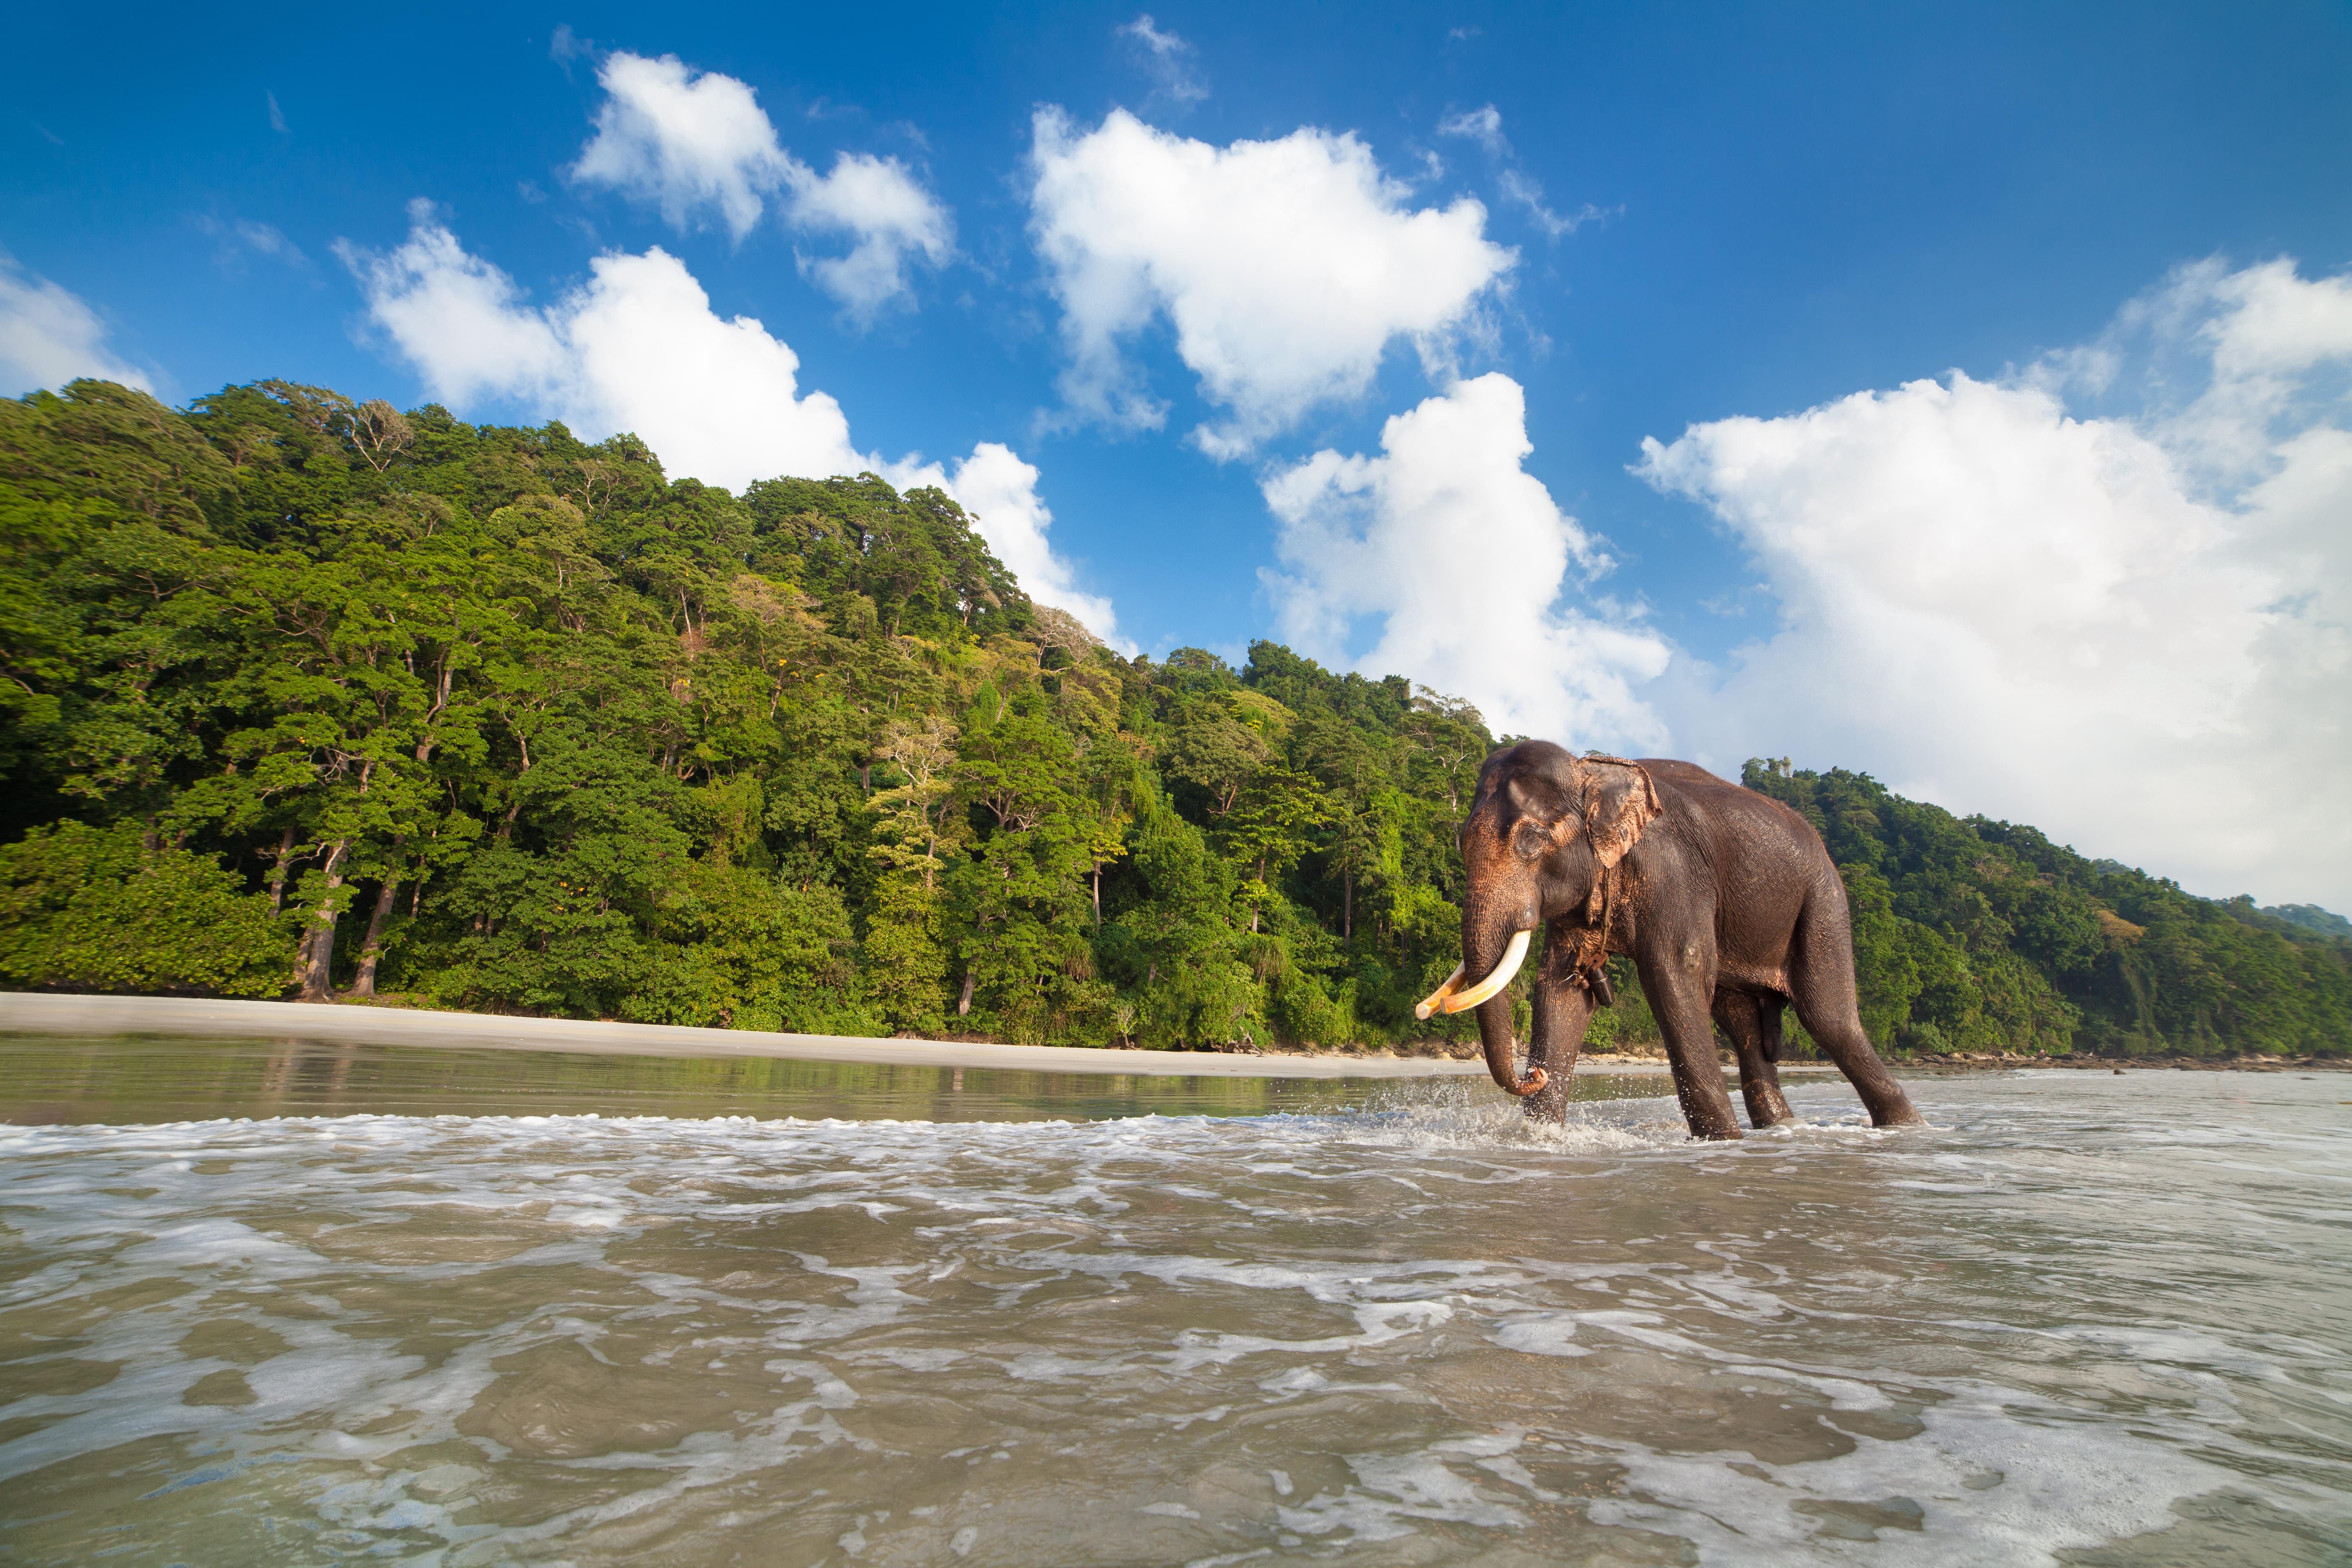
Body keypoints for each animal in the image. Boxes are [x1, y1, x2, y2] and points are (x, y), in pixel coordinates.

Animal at [1416, 742, 1922, 1140]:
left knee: (1829, 1020)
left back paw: (1907, 1127)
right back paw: (1782, 1128)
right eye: (1463, 842)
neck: (1592, 773)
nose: (1534, 1074)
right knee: (1743, 1027)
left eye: (1533, 841)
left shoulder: (1675, 872)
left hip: (1823, 902)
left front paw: (1721, 1141)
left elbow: (1673, 974)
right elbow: (1562, 988)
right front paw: (1540, 1137)